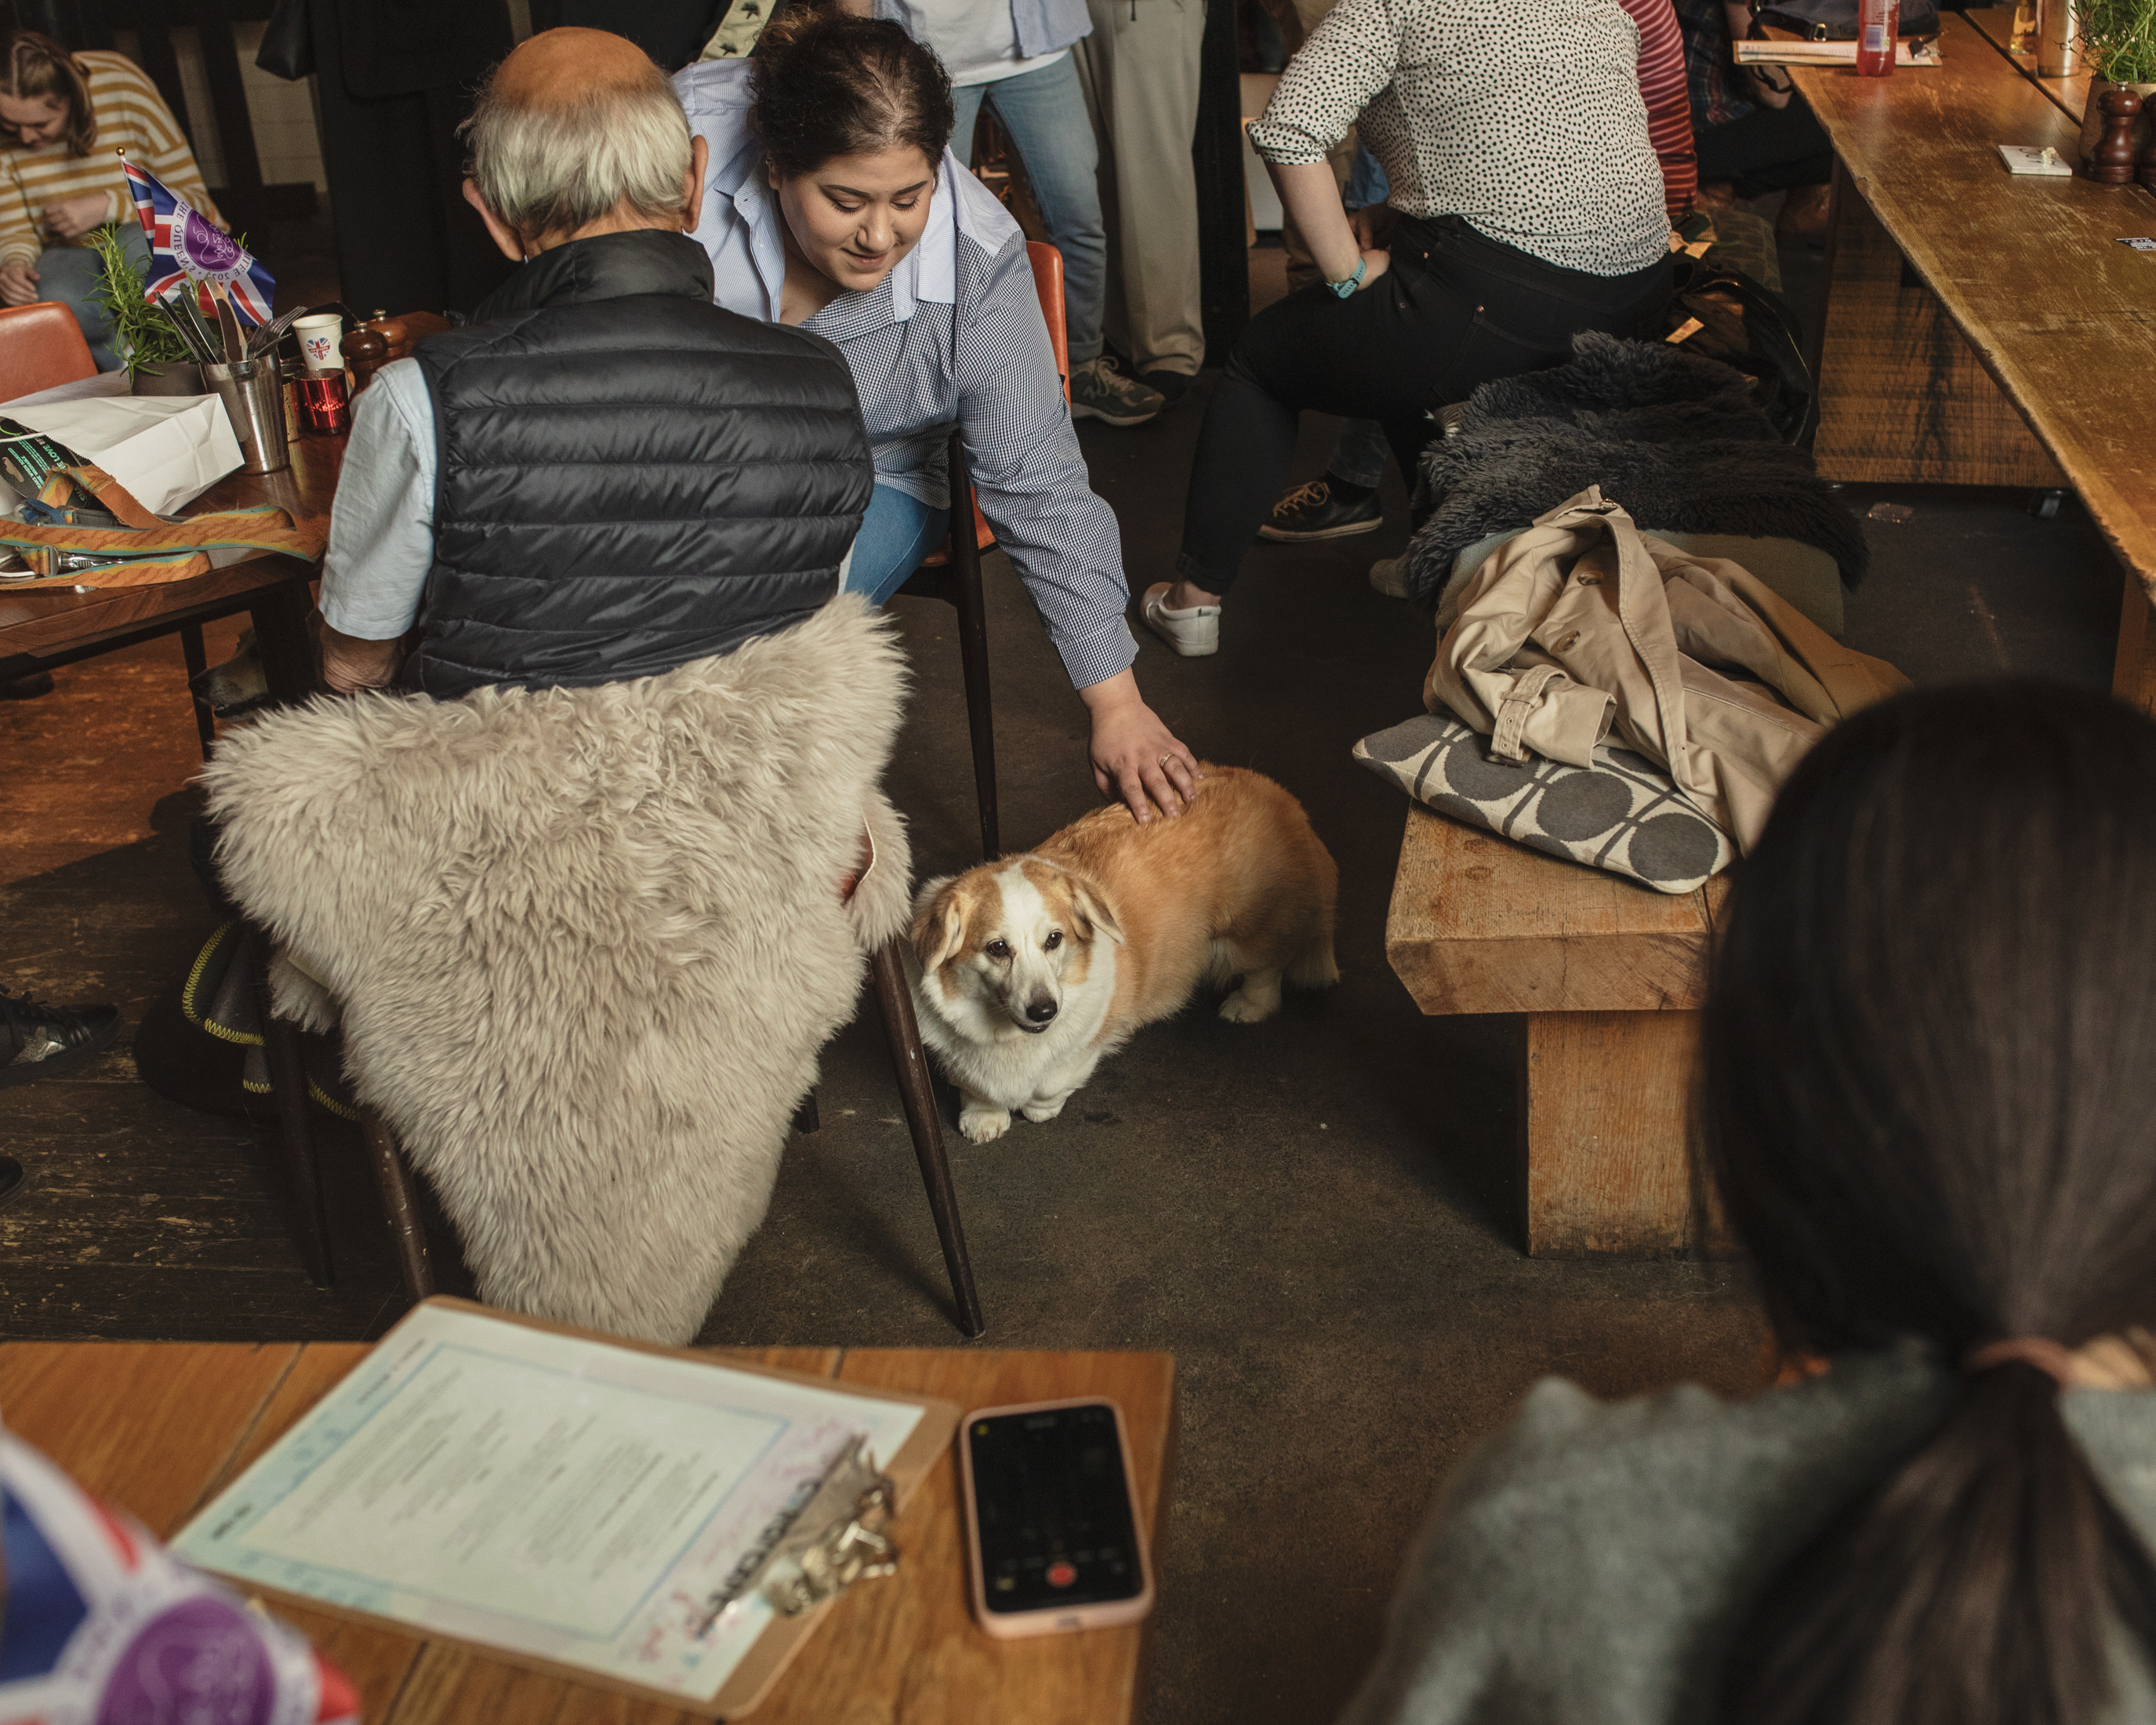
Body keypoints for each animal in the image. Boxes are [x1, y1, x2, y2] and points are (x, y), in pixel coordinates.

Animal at [901, 768, 1337, 1147]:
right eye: (997, 947)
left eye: (1054, 939)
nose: (1044, 1010)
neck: (1004, 1033)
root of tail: (1277, 792)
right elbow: (975, 1085)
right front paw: (984, 1117)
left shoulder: (1087, 1040)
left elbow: (1051, 1084)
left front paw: (1038, 1110)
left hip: (1246, 935)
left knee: (1269, 966)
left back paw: (1248, 1004)